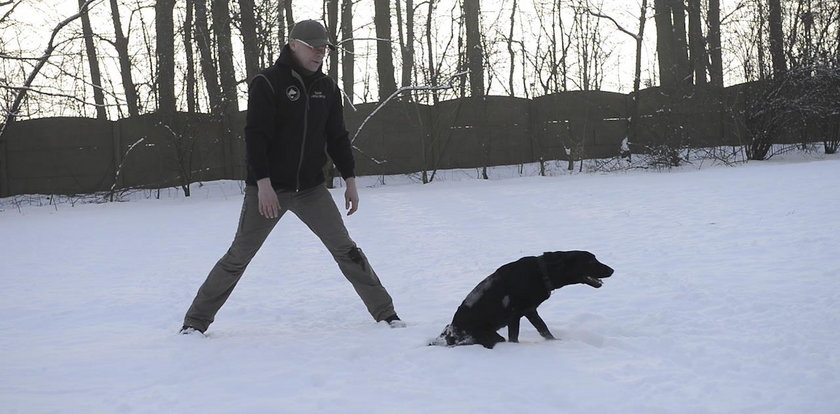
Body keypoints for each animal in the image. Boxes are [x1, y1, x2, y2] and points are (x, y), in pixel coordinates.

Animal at [434, 249, 612, 350]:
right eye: (590, 261)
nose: (612, 270)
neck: (542, 272)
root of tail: (449, 334)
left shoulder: (530, 310)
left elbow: (543, 329)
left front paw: (554, 342)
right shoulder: (516, 314)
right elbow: (517, 337)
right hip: (492, 336)